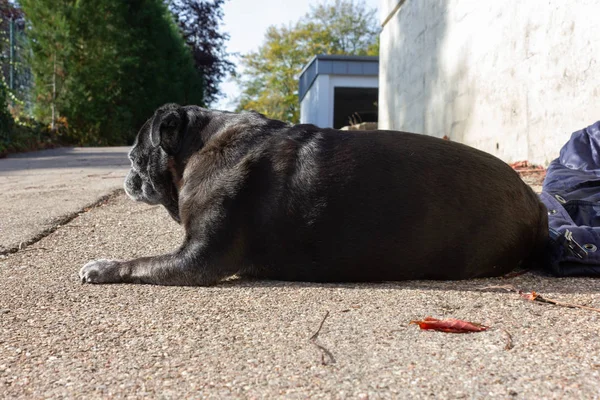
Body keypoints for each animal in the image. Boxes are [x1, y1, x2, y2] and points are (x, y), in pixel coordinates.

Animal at [79, 103, 548, 284]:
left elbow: (139, 263)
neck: (200, 147)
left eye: (133, 157)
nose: (127, 178)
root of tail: (537, 203)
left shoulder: (197, 259)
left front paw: (103, 267)